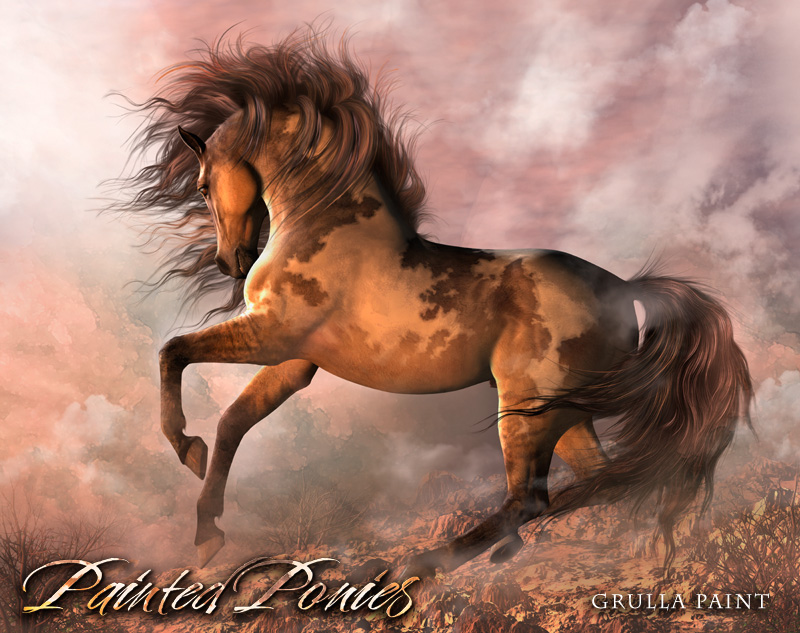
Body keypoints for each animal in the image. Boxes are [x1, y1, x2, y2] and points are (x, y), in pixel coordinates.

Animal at [114, 29, 752, 574]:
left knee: (533, 498)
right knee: (597, 483)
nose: (232, 261)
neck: (327, 225)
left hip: (528, 405)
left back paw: (423, 566)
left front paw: (183, 447)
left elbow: (174, 352)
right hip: (566, 411)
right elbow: (232, 422)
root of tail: (622, 289)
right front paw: (206, 530)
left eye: (202, 185)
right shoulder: (295, 360)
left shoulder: (273, 333)